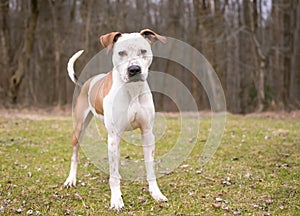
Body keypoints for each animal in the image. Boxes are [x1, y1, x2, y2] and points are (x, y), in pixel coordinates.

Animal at [64, 29, 168, 211]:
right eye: (121, 53)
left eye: (143, 51)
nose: (134, 69)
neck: (132, 90)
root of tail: (86, 83)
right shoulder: (113, 137)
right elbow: (114, 175)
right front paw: (116, 200)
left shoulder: (147, 133)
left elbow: (150, 167)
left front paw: (156, 193)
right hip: (79, 128)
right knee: (75, 154)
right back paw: (71, 179)